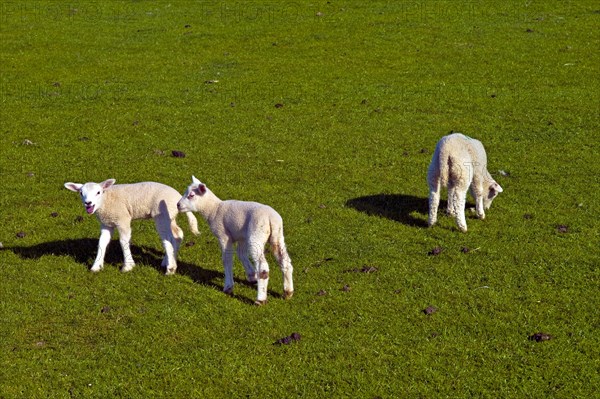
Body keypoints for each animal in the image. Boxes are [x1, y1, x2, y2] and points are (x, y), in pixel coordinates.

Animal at [64, 180, 199, 274]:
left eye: (98, 192)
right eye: (81, 193)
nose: (88, 203)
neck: (106, 200)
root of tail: (178, 197)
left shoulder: (122, 219)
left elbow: (123, 241)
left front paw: (128, 266)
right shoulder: (106, 223)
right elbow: (102, 242)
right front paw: (96, 266)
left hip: (162, 215)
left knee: (169, 238)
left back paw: (170, 267)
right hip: (170, 216)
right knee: (178, 234)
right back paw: (168, 260)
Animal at [176, 176, 292, 306]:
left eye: (191, 195)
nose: (178, 205)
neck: (214, 210)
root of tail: (271, 218)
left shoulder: (224, 236)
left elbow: (227, 260)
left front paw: (228, 287)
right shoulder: (242, 236)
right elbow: (241, 254)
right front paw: (252, 276)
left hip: (257, 234)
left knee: (263, 268)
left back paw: (260, 299)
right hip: (277, 236)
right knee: (285, 262)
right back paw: (288, 292)